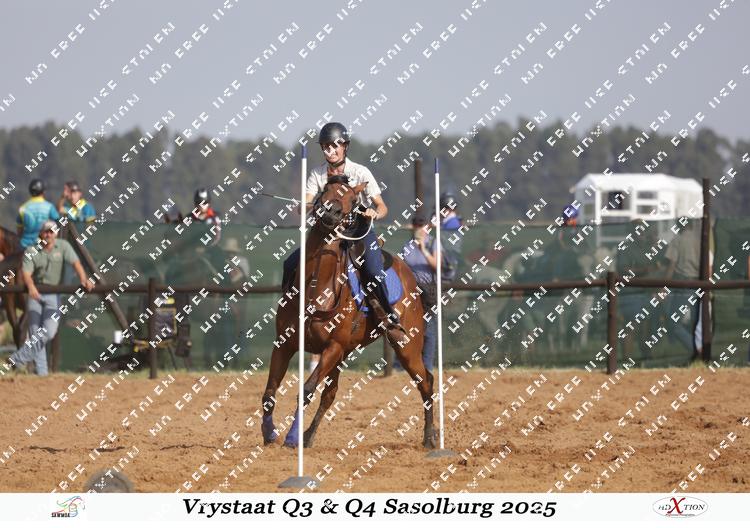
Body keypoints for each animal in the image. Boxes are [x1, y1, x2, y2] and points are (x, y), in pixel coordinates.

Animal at [261, 177, 437, 449]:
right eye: (325, 189)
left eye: (354, 200)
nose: (330, 212)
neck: (316, 289)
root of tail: (412, 279)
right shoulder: (284, 344)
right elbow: (270, 391)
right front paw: (269, 433)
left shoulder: (332, 347)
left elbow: (306, 390)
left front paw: (291, 438)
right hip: (345, 354)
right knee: (330, 395)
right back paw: (308, 436)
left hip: (406, 347)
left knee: (426, 381)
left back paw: (429, 437)